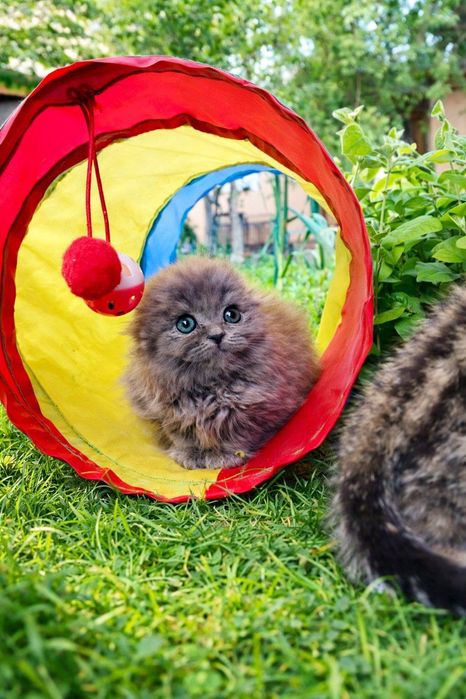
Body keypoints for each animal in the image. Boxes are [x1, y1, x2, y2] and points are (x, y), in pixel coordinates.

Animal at [124, 256, 320, 470]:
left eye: (231, 315)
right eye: (185, 324)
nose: (217, 335)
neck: (211, 388)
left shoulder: (260, 408)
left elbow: (236, 435)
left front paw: (224, 457)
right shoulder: (165, 413)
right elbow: (183, 436)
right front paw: (189, 454)